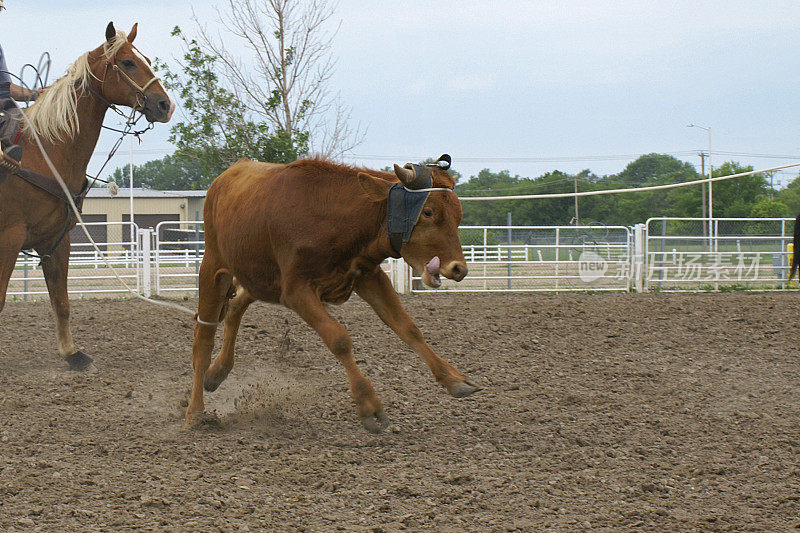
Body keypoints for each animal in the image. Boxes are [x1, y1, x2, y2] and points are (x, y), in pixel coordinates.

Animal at [0, 22, 173, 368]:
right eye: (127, 62)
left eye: (146, 59)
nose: (165, 105)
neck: (43, 153)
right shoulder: (9, 239)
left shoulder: (56, 240)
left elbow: (62, 301)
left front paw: (71, 353)